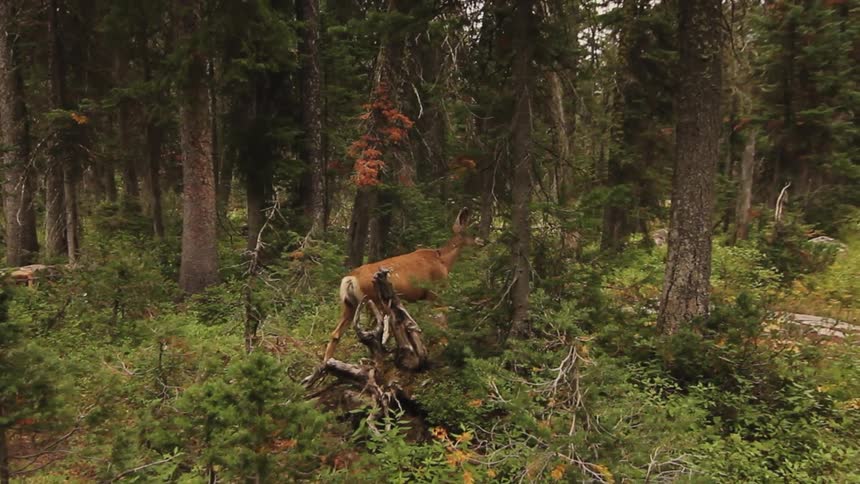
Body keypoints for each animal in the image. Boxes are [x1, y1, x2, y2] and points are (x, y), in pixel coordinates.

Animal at [320, 207, 479, 363]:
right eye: (473, 230)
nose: (482, 241)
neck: (443, 261)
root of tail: (351, 278)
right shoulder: (435, 292)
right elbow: (440, 319)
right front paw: (442, 343)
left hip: (350, 304)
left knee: (336, 333)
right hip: (374, 300)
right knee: (374, 333)